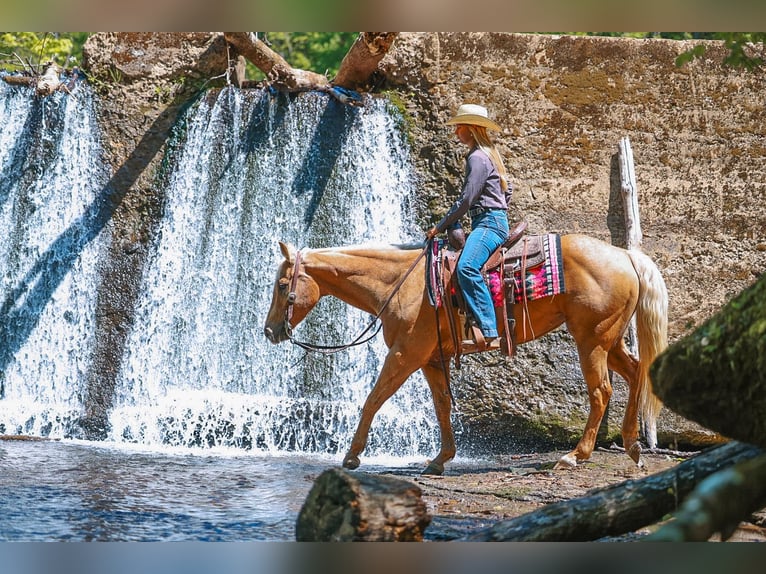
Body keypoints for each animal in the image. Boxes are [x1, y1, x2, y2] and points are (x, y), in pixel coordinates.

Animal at [264, 233, 668, 474]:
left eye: (283, 285)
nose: (269, 331)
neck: (402, 283)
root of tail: (626, 256)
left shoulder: (404, 355)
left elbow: (373, 399)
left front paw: (351, 456)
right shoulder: (430, 359)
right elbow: (442, 404)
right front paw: (440, 459)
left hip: (592, 341)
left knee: (601, 391)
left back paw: (575, 455)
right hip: (611, 340)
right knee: (636, 373)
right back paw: (632, 445)